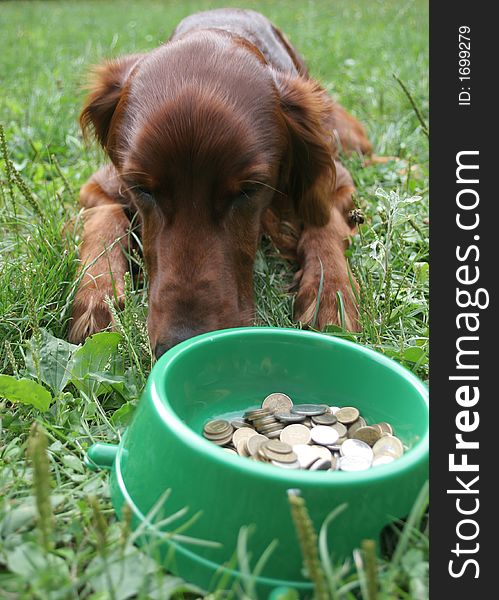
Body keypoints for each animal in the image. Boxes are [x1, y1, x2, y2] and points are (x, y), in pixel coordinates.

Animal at [72, 8, 374, 356]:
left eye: (249, 190)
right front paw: (96, 297)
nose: (181, 341)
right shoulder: (101, 185)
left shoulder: (338, 181)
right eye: (141, 188)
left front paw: (330, 294)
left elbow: (325, 225)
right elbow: (103, 222)